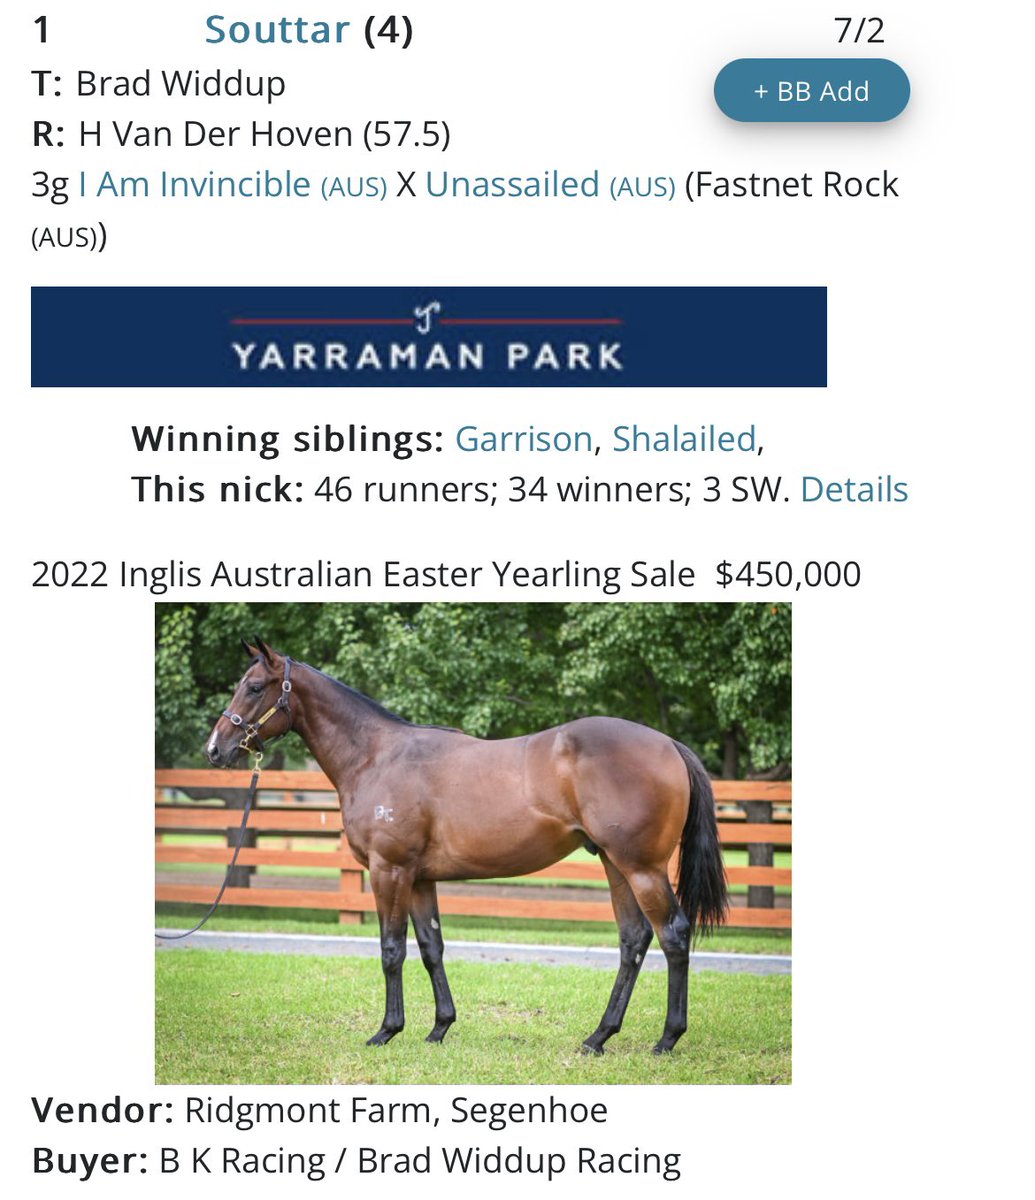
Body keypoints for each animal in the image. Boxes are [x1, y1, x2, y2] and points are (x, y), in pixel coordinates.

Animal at [205, 638, 728, 1054]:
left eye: (255, 687)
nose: (214, 749)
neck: (375, 756)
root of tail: (668, 743)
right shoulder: (419, 879)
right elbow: (431, 947)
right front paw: (439, 1028)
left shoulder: (388, 870)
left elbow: (391, 949)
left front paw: (387, 1031)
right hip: (617, 866)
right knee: (633, 940)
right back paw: (598, 1037)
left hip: (642, 868)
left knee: (673, 935)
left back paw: (667, 1039)